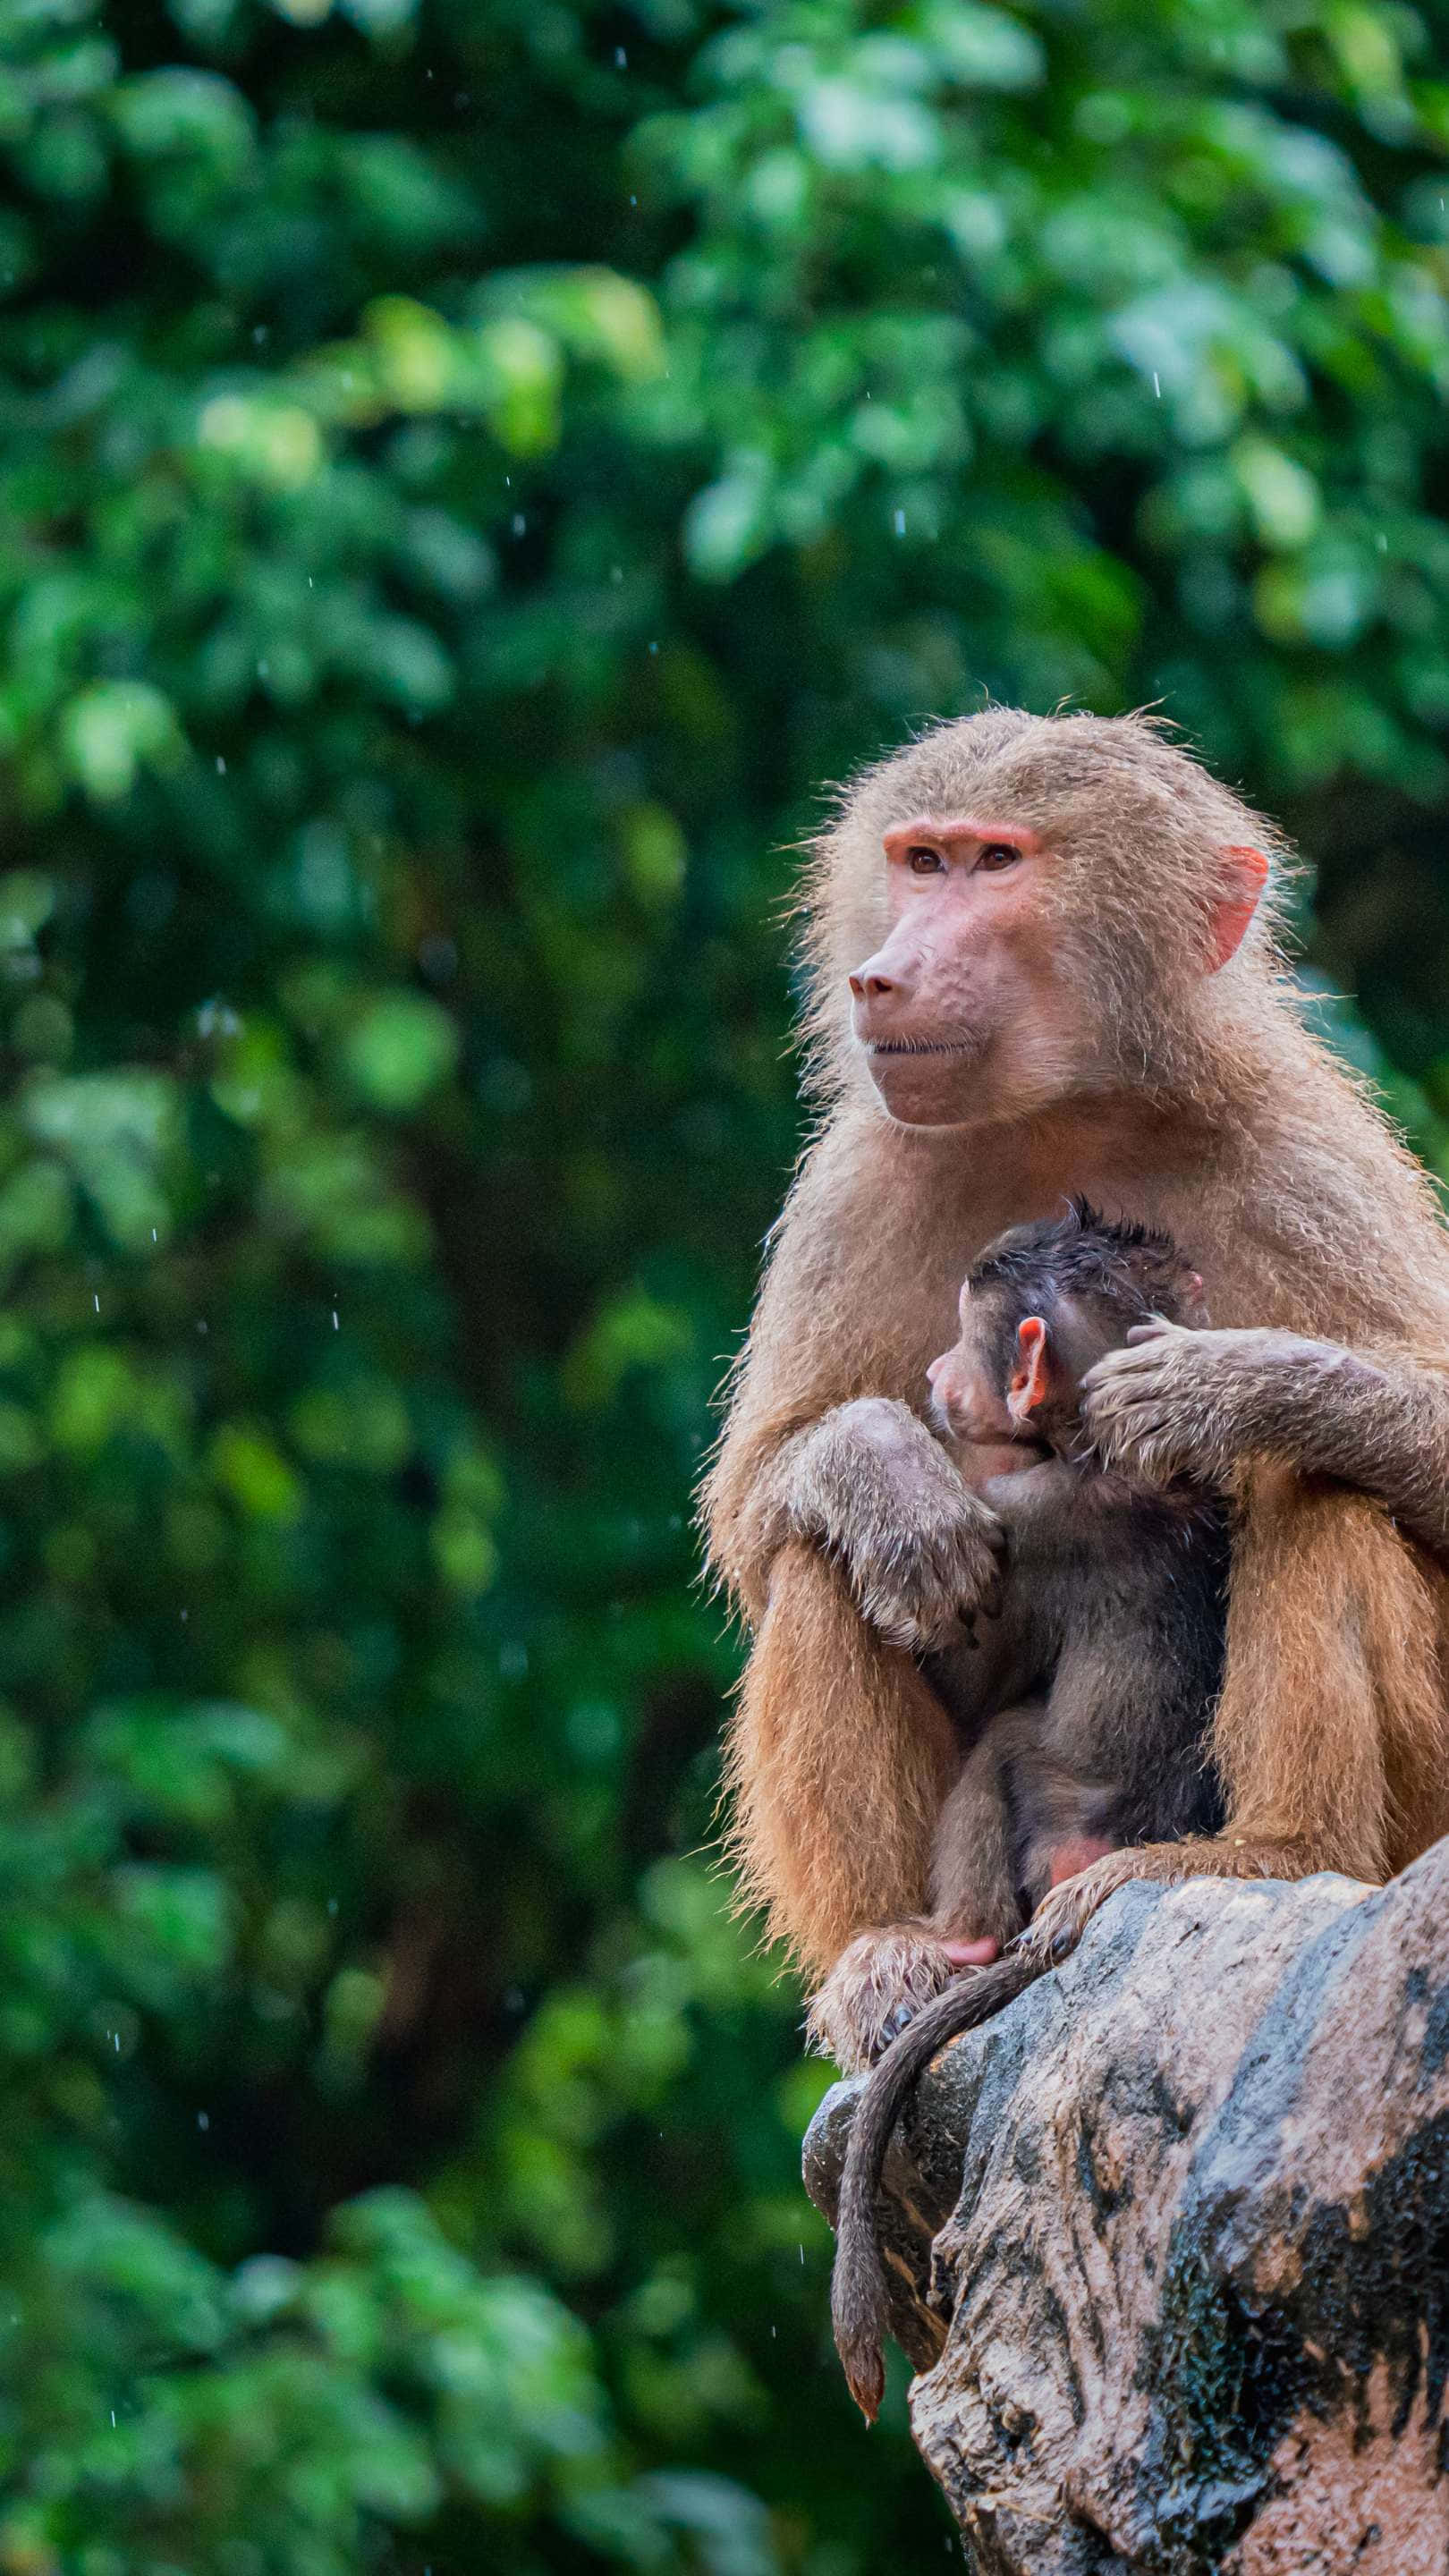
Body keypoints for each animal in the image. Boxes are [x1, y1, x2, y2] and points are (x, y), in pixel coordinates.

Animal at [703, 708, 1449, 2077]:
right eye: (922, 861)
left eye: (997, 863)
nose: (880, 978)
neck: (1066, 1113)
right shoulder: (858, 1176)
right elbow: (760, 1505)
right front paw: (888, 1476)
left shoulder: (1304, 1152)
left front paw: (1235, 1385)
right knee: (821, 1560)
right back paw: (883, 1952)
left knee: (1318, 1486)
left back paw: (1276, 1852)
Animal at [827, 1200, 1230, 2420]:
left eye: (968, 1343)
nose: (930, 1375)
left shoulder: (1030, 1514)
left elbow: (972, 1684)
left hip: (1056, 1817)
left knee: (999, 1750)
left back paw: (959, 1944)